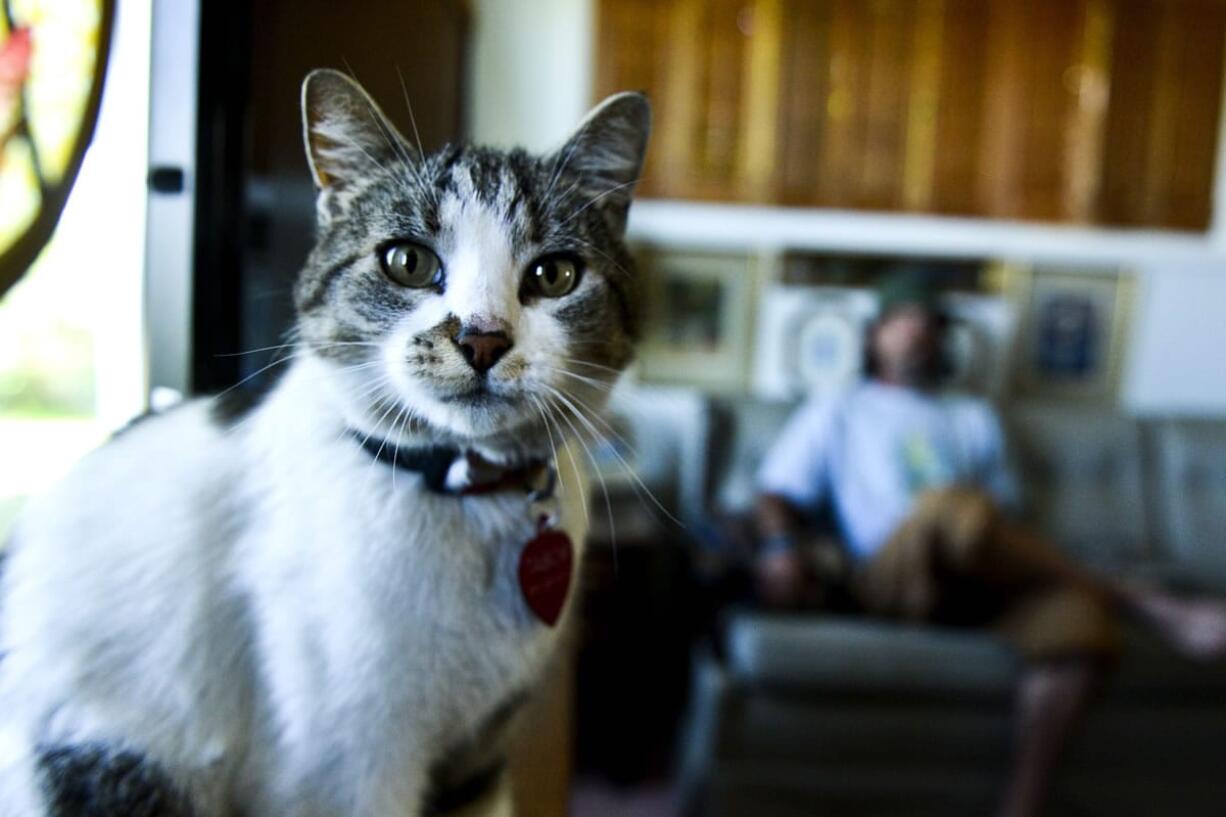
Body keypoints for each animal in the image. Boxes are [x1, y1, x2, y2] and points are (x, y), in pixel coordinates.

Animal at [0, 69, 652, 814]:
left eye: (555, 275)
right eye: (406, 261)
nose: (483, 337)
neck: (469, 500)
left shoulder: (477, 757)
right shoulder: (346, 766)